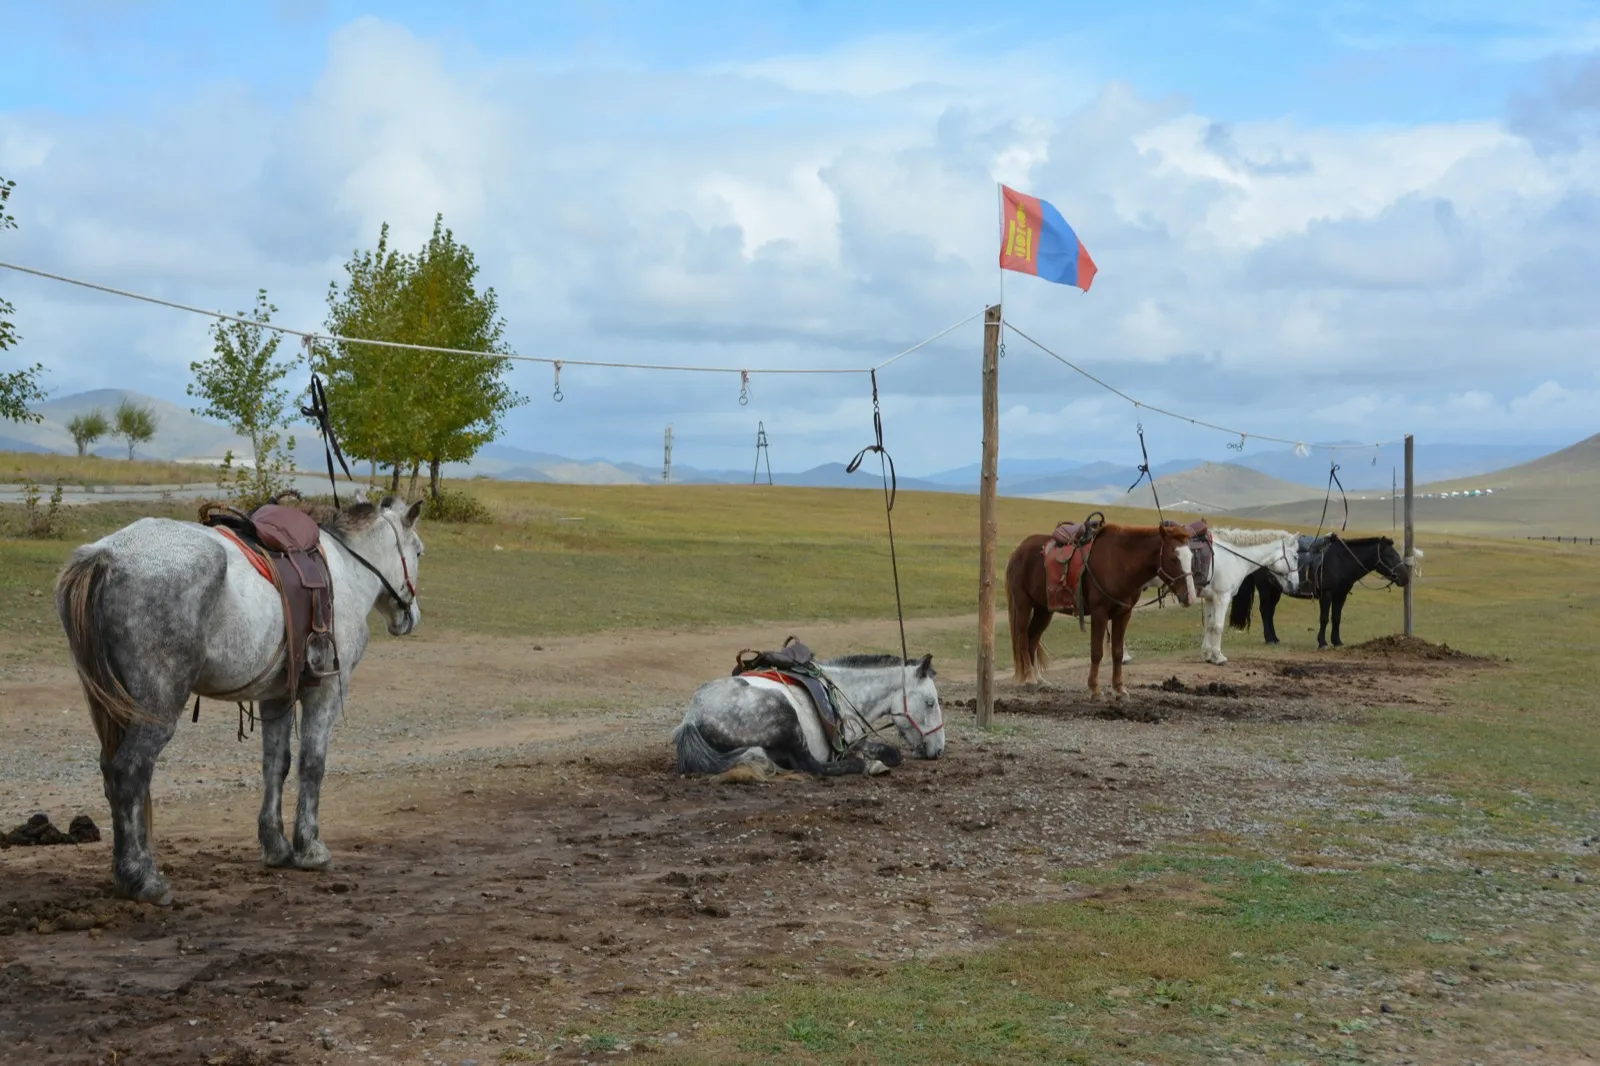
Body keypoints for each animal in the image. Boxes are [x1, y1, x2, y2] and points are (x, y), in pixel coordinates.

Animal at [54, 493, 424, 904]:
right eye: (418, 552)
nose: (411, 616)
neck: (346, 567)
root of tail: (107, 554)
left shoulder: (276, 698)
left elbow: (276, 765)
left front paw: (277, 846)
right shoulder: (326, 691)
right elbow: (312, 765)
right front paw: (311, 848)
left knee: (111, 773)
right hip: (158, 705)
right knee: (129, 771)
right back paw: (143, 878)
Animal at [674, 653, 945, 779]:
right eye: (930, 703)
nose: (940, 750)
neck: (845, 690)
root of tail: (692, 718)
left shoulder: (853, 741)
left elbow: (891, 752)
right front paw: (870, 762)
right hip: (784, 713)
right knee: (809, 765)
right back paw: (860, 765)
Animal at [1006, 523, 1196, 700]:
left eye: (1191, 557)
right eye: (1173, 558)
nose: (1190, 596)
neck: (1120, 562)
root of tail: (1018, 551)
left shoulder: (1123, 614)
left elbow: (1117, 653)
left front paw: (1119, 689)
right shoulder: (1100, 613)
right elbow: (1097, 653)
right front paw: (1095, 689)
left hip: (1044, 610)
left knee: (1033, 638)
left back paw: (1039, 679)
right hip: (1023, 604)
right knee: (1023, 638)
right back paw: (1030, 679)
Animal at [1193, 528, 1301, 665]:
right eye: (1296, 557)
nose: (1296, 585)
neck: (1232, 557)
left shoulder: (1210, 598)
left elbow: (1209, 625)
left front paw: (1207, 655)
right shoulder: (1222, 597)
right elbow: (1218, 626)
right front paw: (1218, 657)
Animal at [1229, 534, 1415, 649]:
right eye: (1390, 555)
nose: (1405, 578)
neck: (1341, 561)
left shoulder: (1341, 596)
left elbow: (1336, 618)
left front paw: (1337, 641)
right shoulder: (1327, 595)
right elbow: (1324, 618)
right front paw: (1322, 643)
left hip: (1276, 590)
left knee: (1270, 612)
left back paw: (1275, 638)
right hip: (1266, 588)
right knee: (1265, 611)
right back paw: (1269, 639)